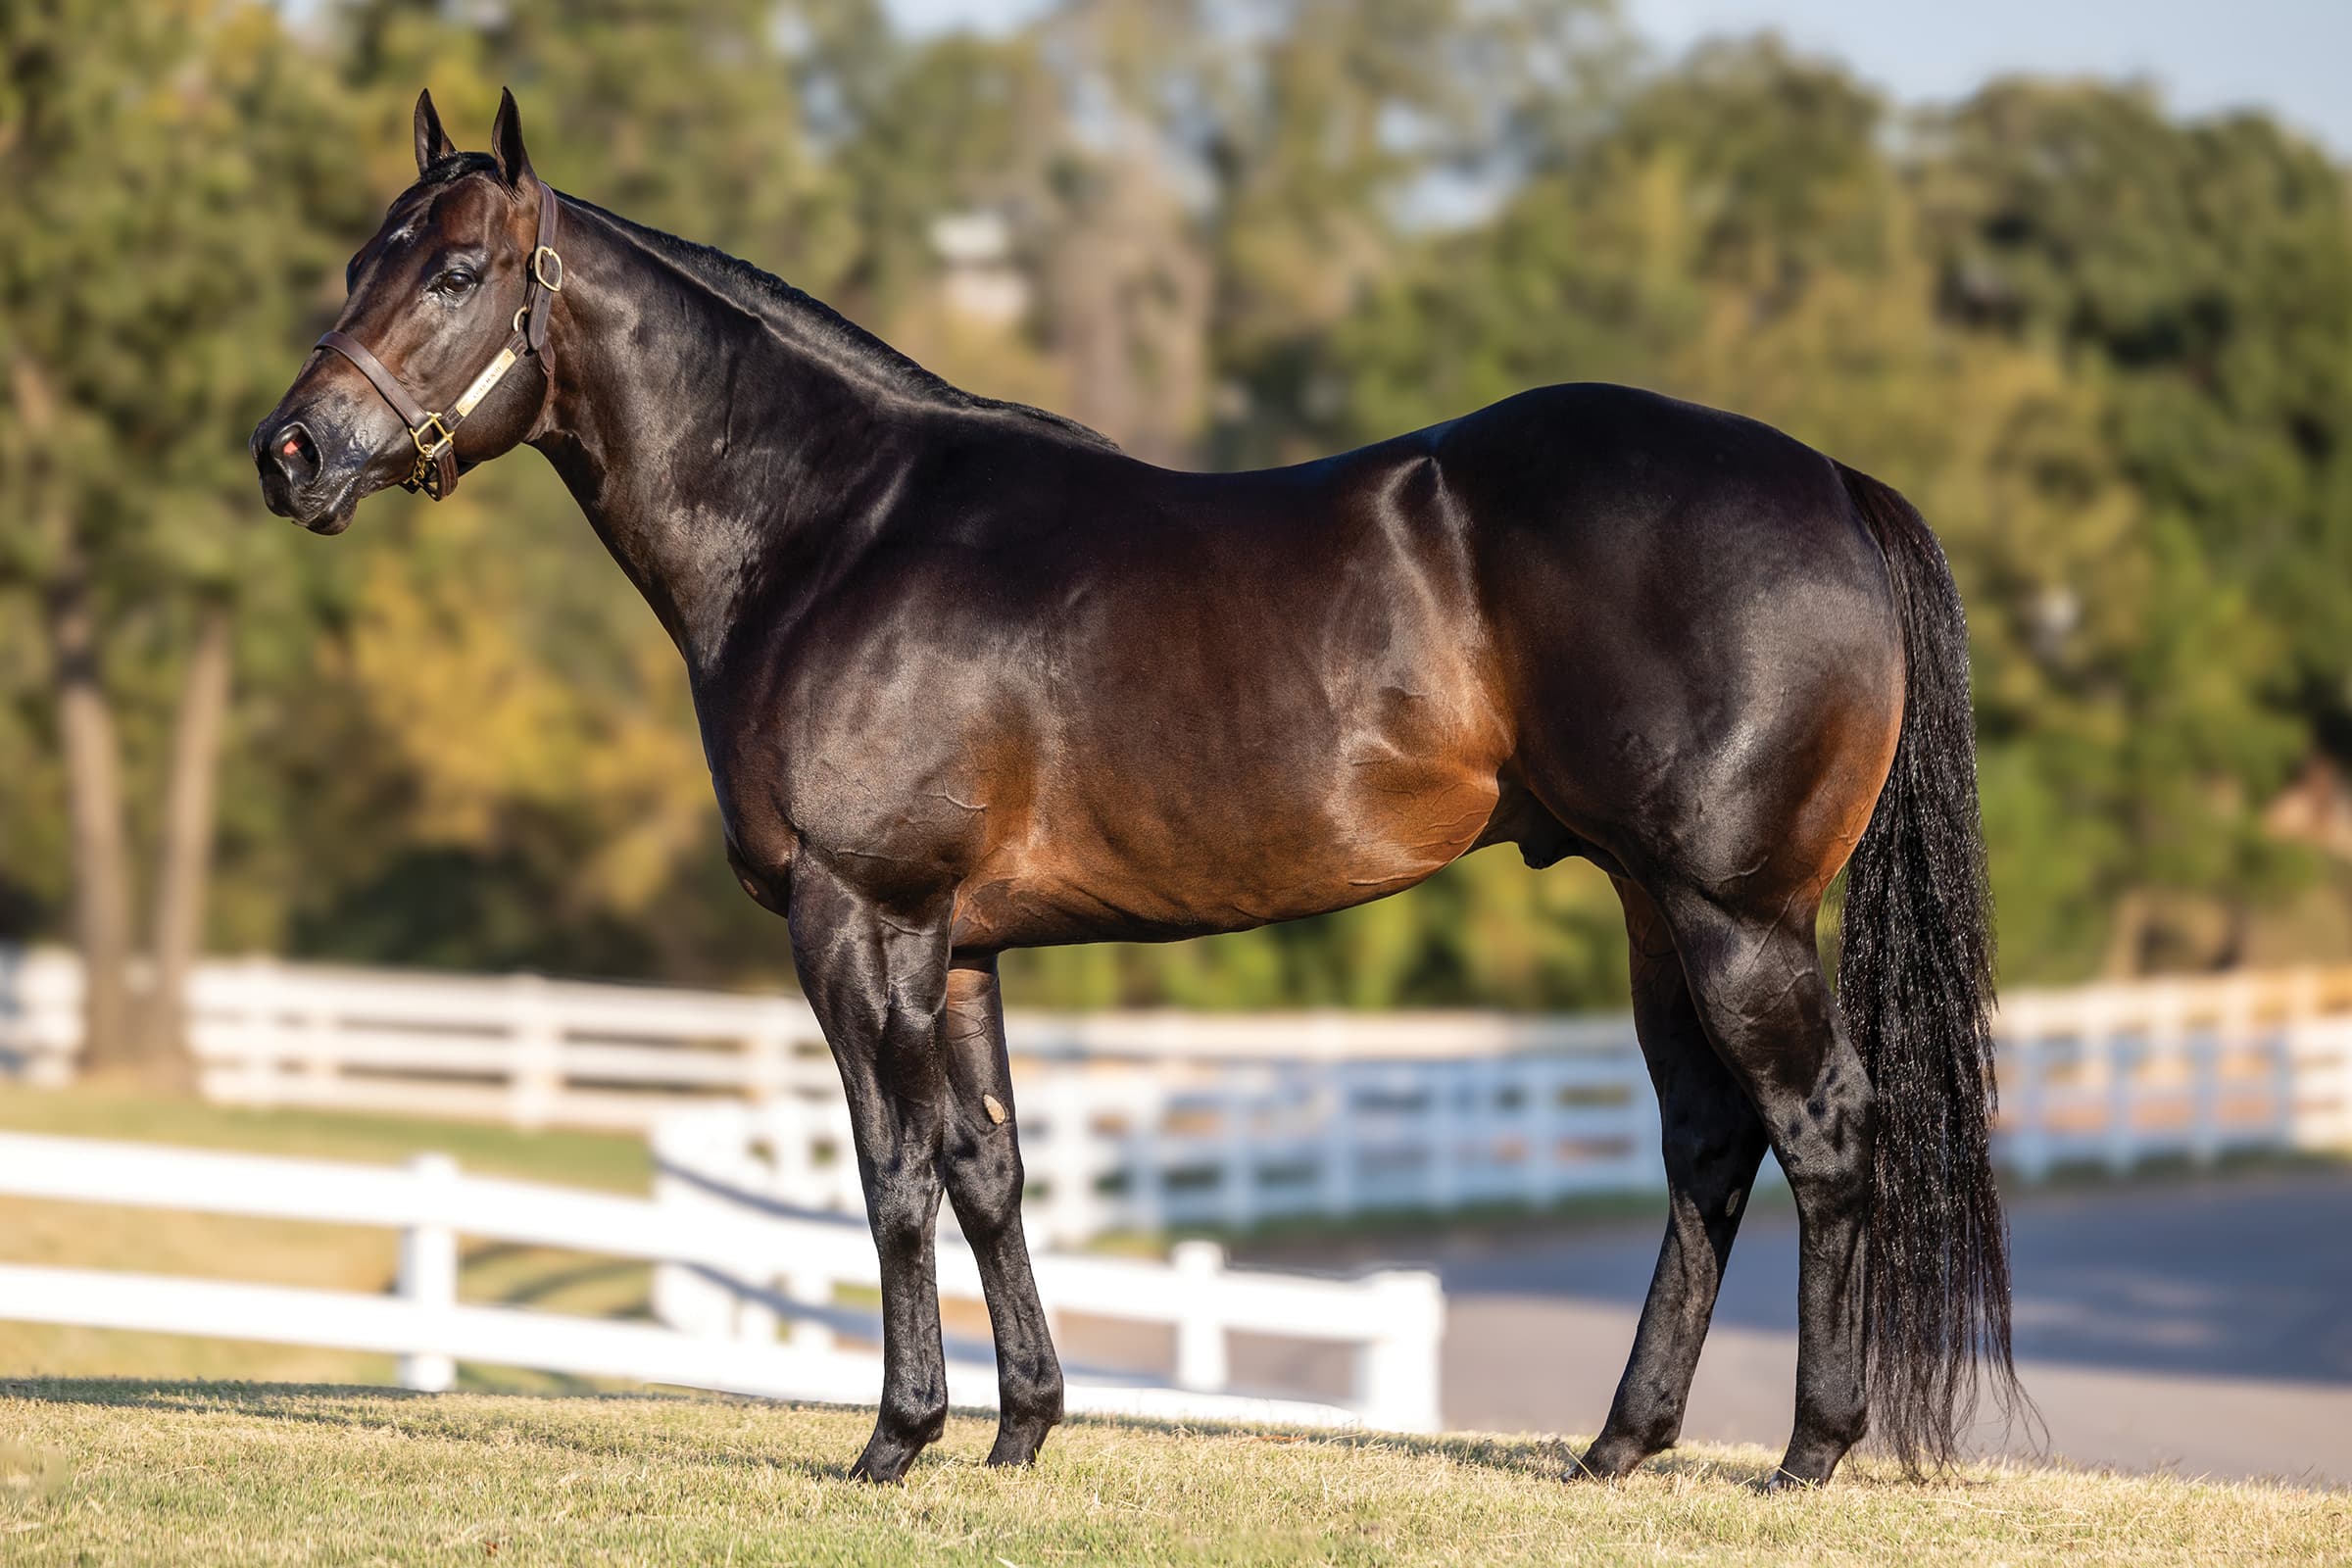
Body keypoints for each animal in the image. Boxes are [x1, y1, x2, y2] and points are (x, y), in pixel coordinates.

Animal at [254, 89, 2020, 1487]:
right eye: (358, 265)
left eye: (458, 270)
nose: (292, 453)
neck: (833, 531)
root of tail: (1828, 482)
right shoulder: (956, 944)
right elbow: (988, 1171)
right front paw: (1024, 1429)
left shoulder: (858, 920)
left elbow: (890, 1175)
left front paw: (895, 1439)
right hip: (1660, 910)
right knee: (1709, 1147)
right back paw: (1619, 1447)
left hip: (1738, 916)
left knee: (1824, 1131)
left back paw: (1807, 1455)